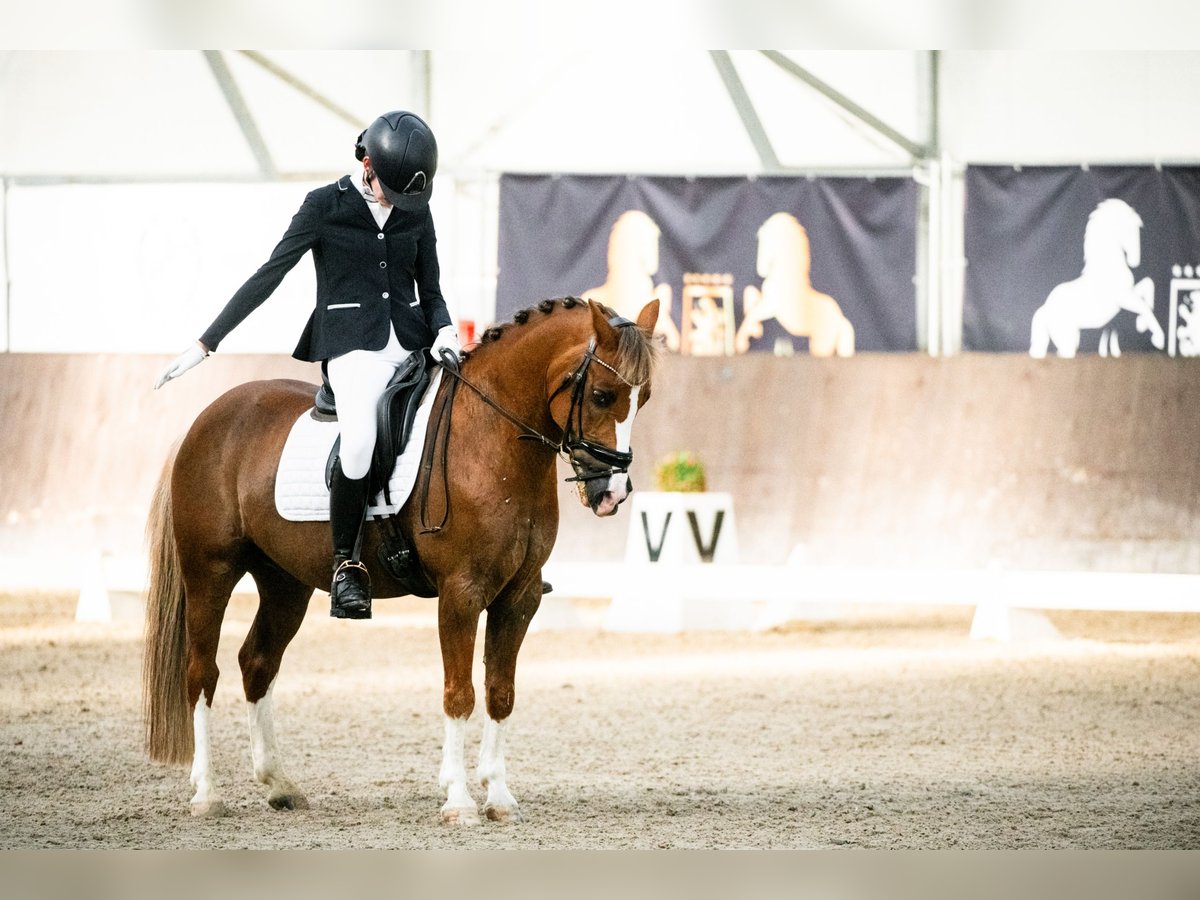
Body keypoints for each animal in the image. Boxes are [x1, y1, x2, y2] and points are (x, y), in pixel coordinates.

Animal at [145, 300, 662, 830]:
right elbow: (459, 694)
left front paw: (498, 797)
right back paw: (207, 793)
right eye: (602, 396)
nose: (611, 494)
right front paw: (458, 800)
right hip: (210, 573)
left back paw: (280, 785)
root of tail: (207, 418)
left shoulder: (520, 597)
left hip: (285, 583)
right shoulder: (461, 594)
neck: (491, 441)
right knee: (202, 672)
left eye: (643, 399)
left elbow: (500, 693)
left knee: (257, 662)